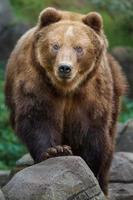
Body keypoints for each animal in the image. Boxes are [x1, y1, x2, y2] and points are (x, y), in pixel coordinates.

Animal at [4, 7, 127, 197]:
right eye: (55, 45)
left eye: (79, 48)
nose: (64, 68)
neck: (66, 88)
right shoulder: (36, 80)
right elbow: (38, 117)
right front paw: (55, 150)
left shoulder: (92, 91)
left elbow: (92, 129)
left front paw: (88, 166)